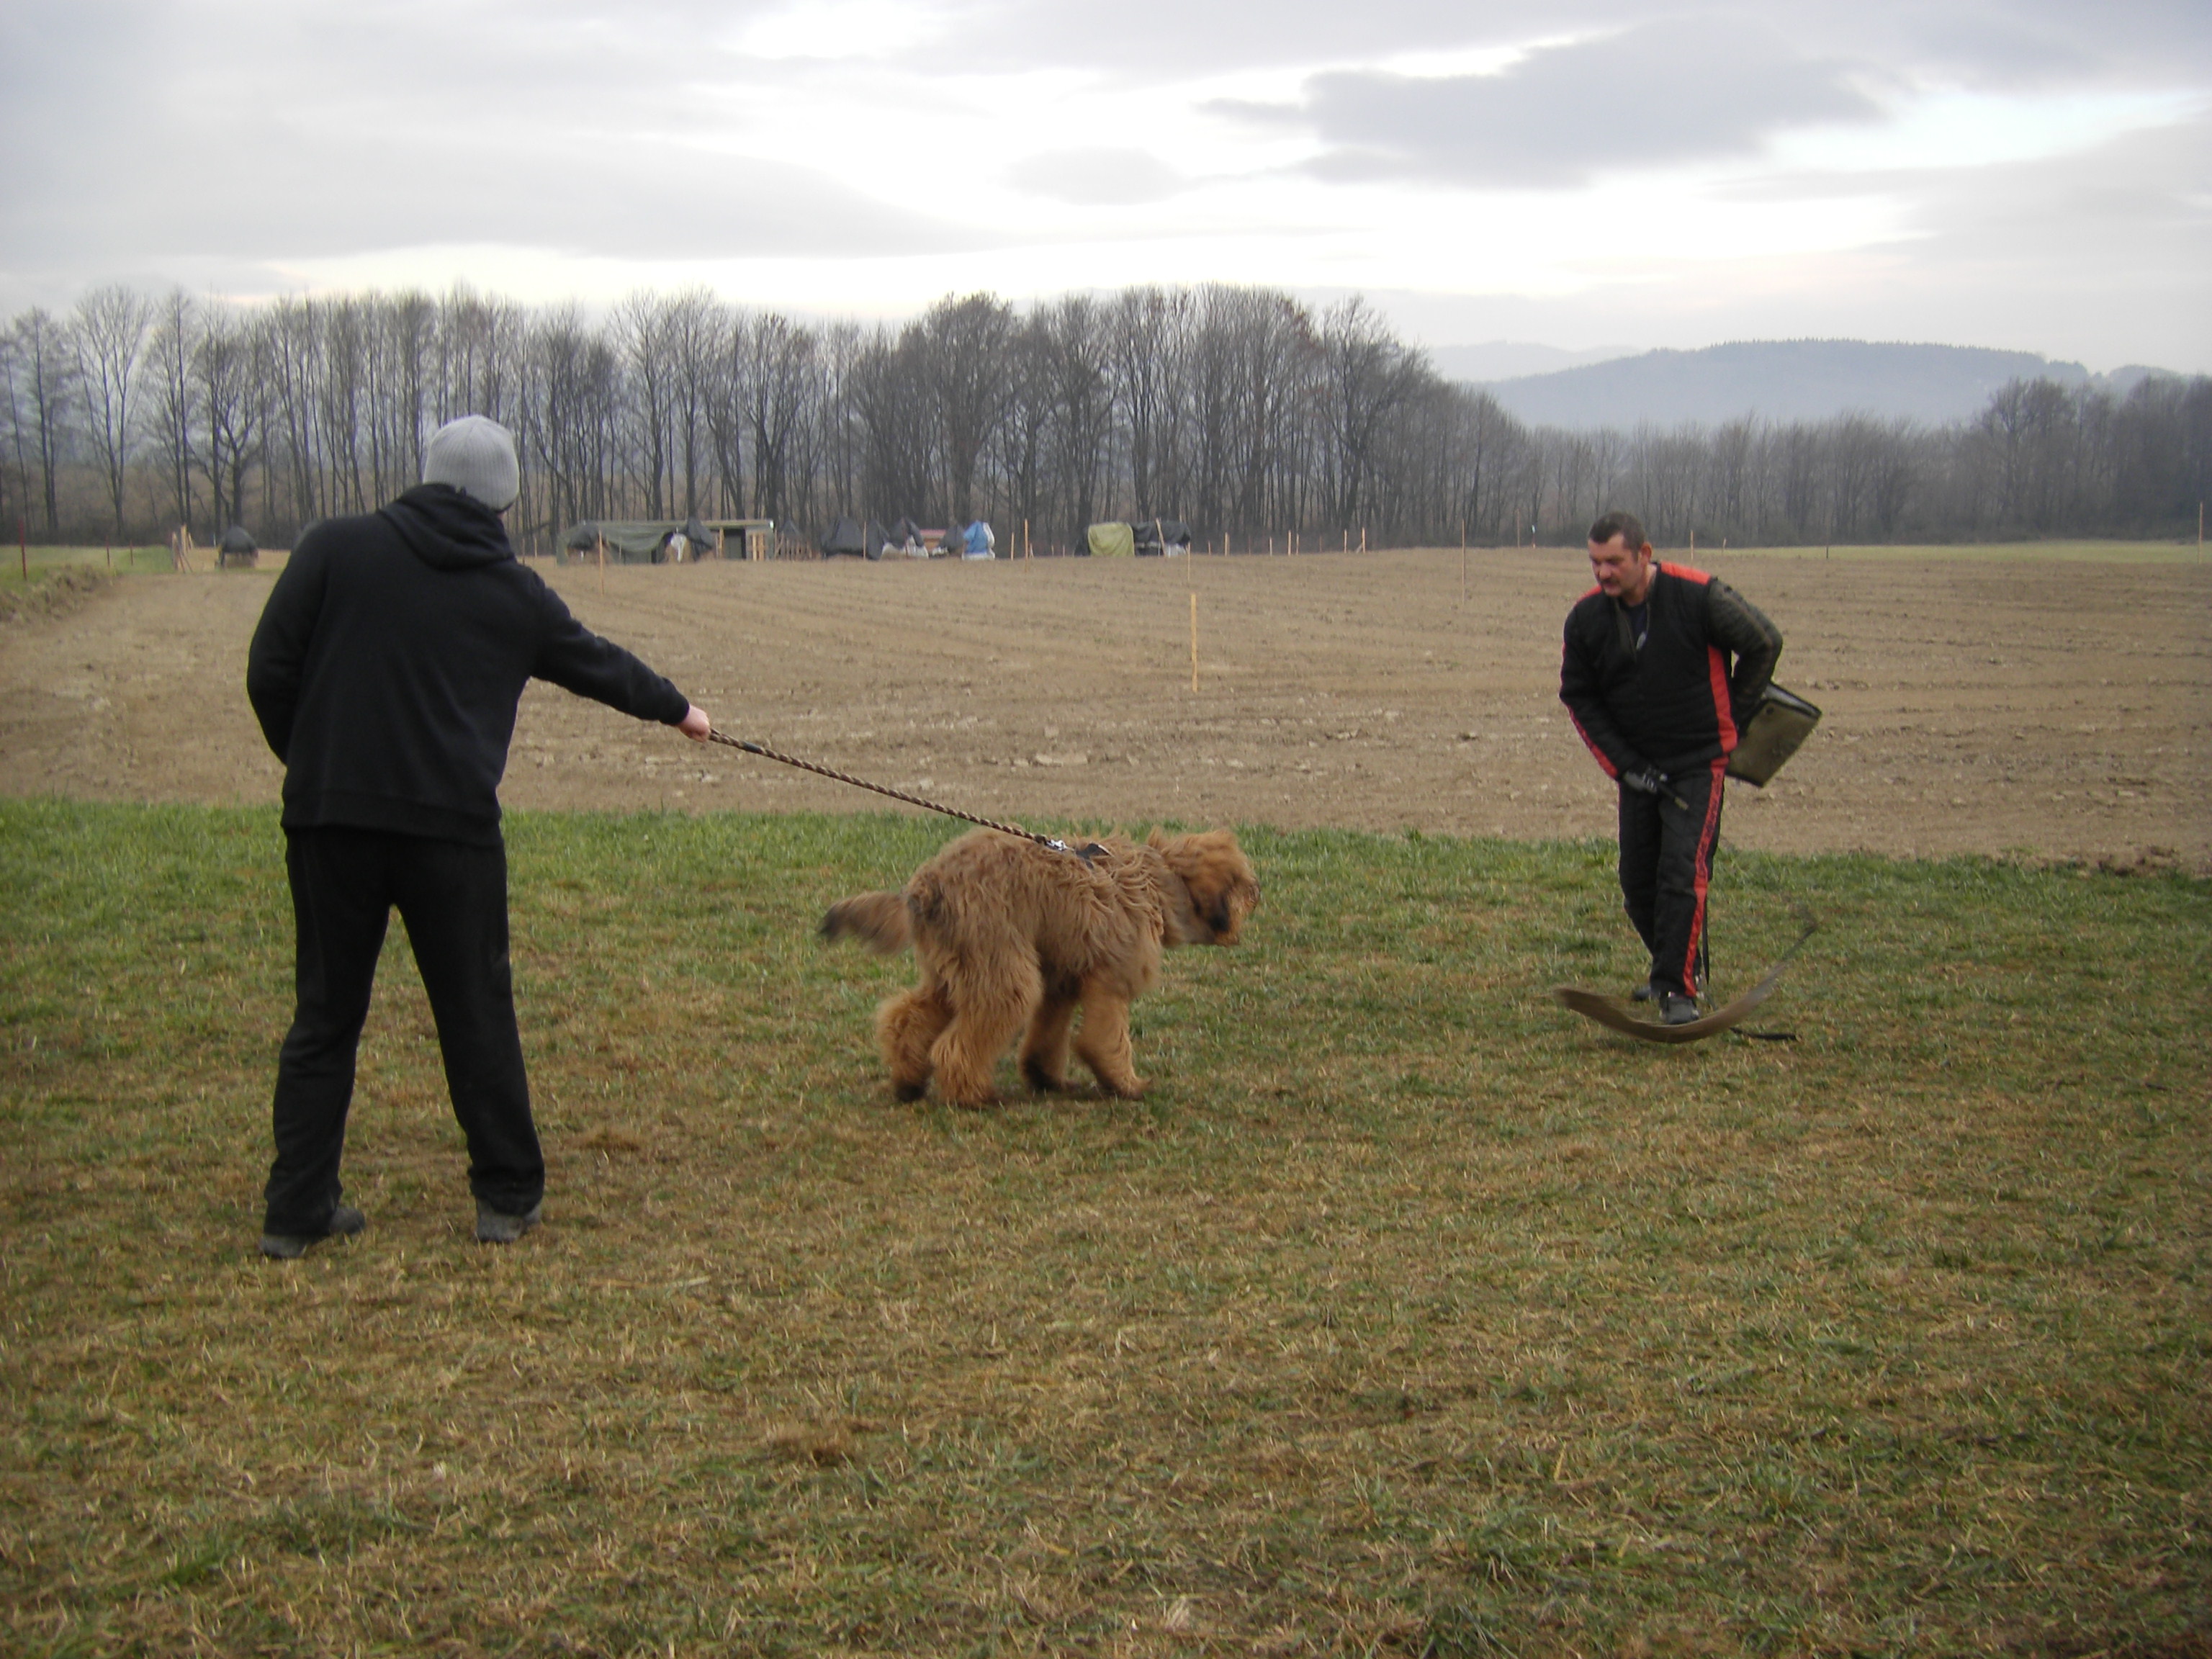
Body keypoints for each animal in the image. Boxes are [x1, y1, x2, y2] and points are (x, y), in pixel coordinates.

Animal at [818, 827, 1265, 1110]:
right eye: (1244, 885)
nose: (1258, 893)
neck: (1157, 880)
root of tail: (923, 889)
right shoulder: (1109, 980)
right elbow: (1105, 1039)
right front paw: (1126, 1085)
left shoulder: (1062, 980)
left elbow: (1048, 1036)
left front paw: (1045, 1077)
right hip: (1000, 968)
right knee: (957, 1044)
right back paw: (971, 1096)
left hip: (954, 969)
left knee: (907, 1019)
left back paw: (908, 1081)